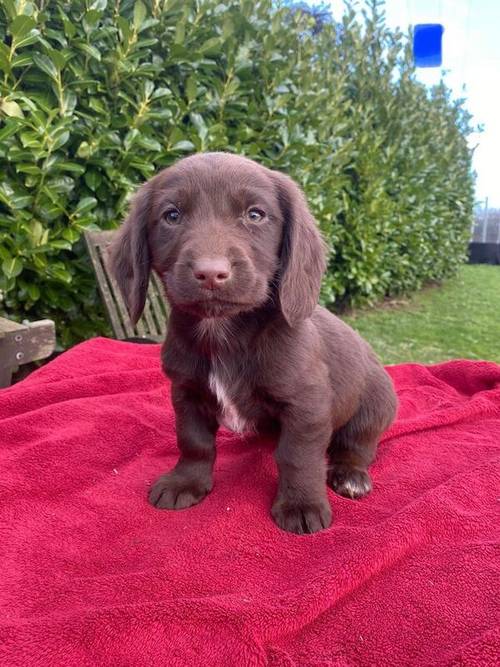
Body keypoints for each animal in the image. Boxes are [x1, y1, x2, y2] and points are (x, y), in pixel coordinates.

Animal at [110, 153, 398, 536]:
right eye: (172, 215)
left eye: (255, 215)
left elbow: (298, 456)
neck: (223, 331)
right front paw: (186, 482)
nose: (211, 273)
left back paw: (351, 475)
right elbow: (193, 441)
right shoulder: (186, 392)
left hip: (373, 407)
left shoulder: (307, 406)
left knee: (358, 446)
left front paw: (301, 504)